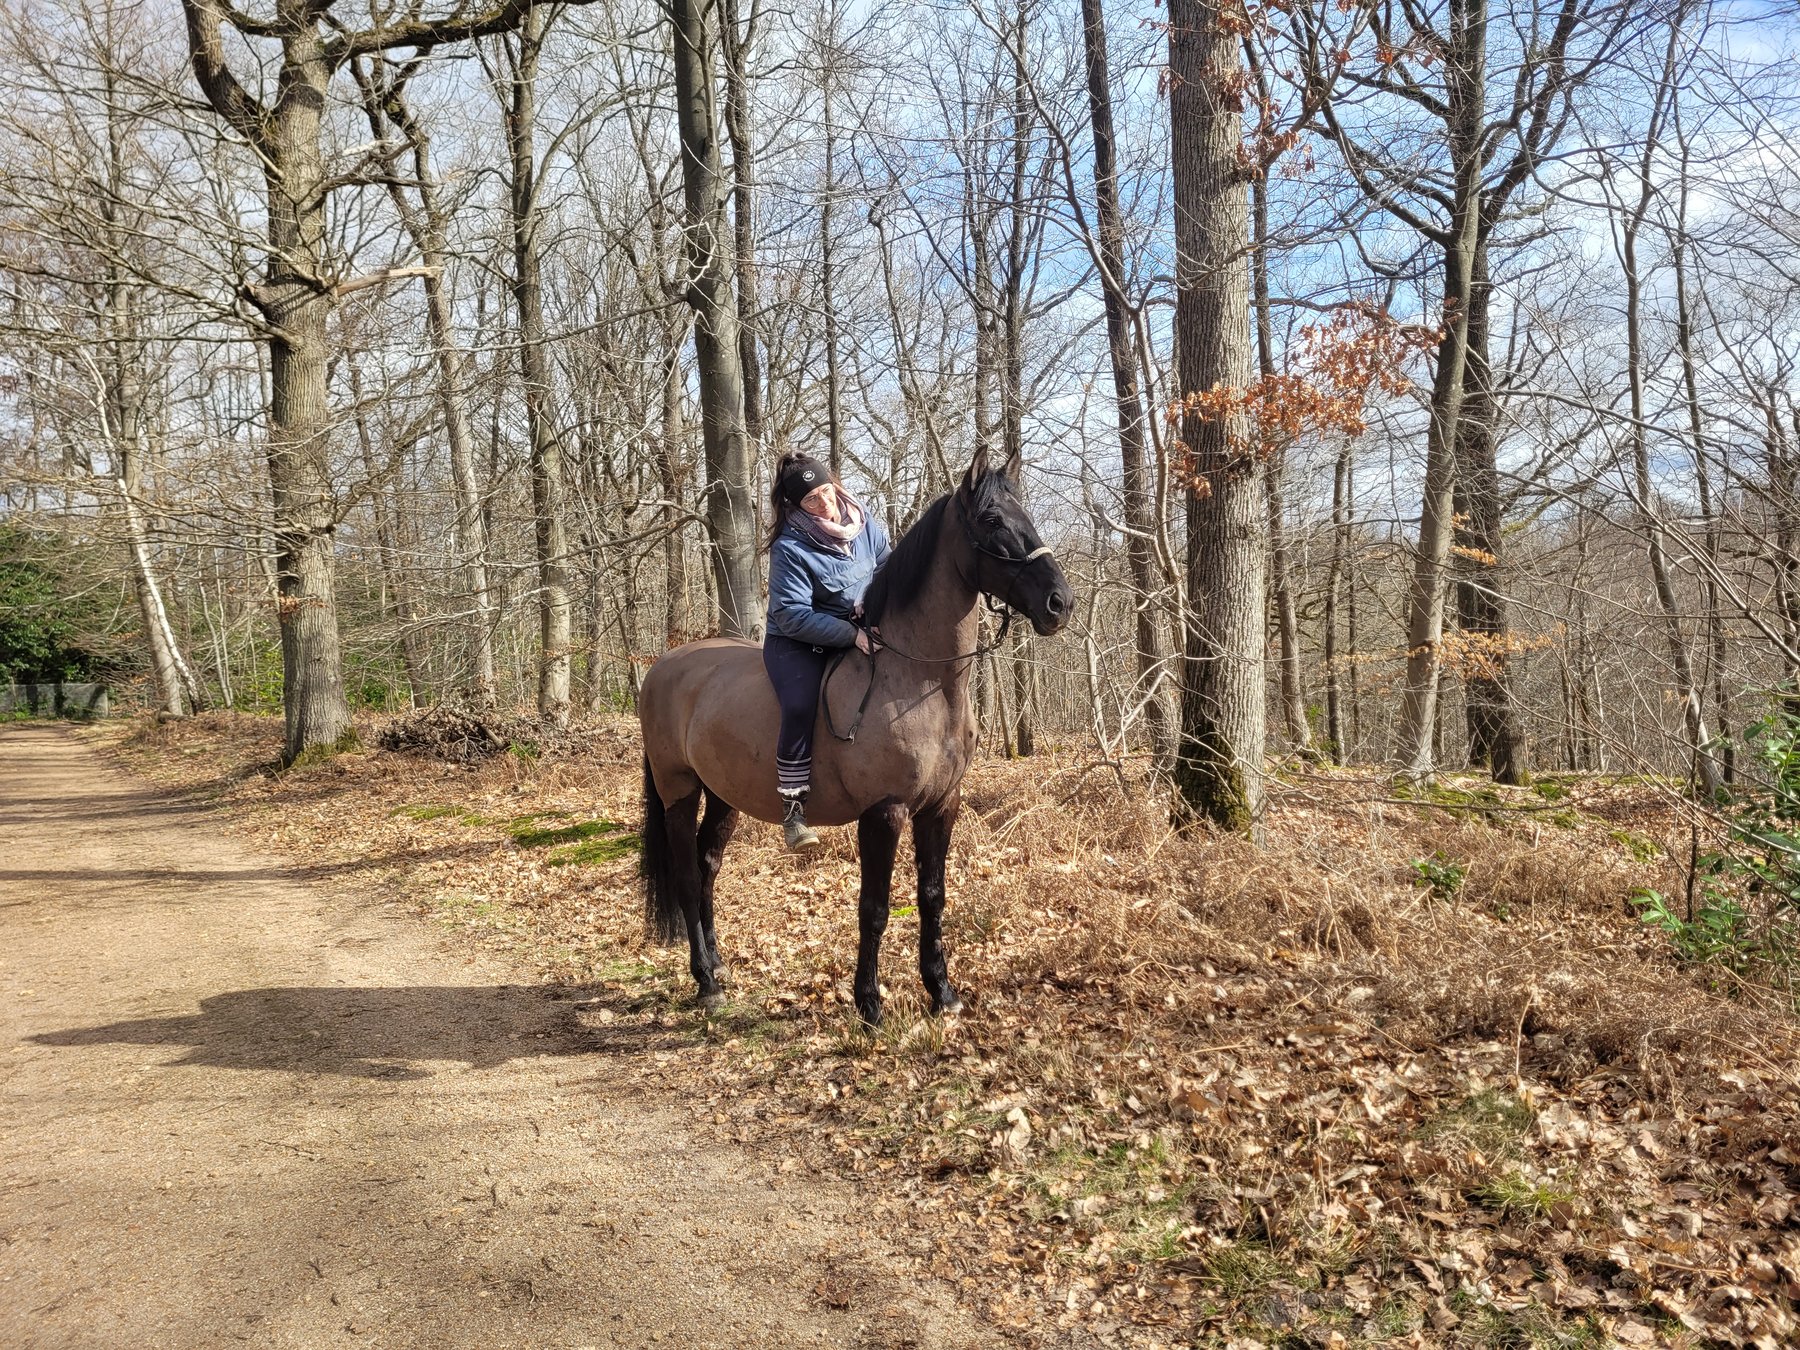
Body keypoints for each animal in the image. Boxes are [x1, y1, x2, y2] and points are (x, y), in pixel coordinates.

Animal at [637, 446, 1075, 1026]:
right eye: (992, 520)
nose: (1059, 603)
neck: (917, 680)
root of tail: (664, 666)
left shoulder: (942, 806)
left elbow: (932, 896)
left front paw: (942, 992)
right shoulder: (884, 812)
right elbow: (875, 907)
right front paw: (869, 1003)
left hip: (723, 795)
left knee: (708, 867)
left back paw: (718, 965)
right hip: (679, 790)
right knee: (689, 876)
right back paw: (705, 982)